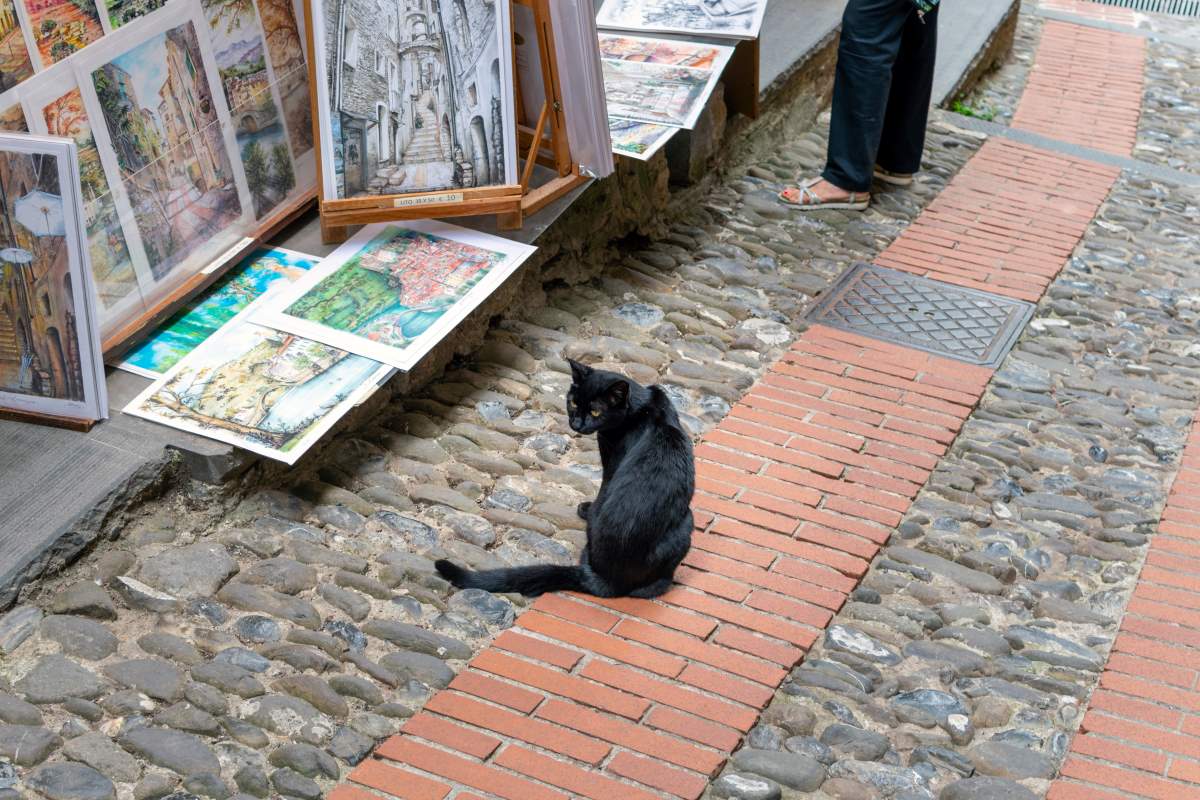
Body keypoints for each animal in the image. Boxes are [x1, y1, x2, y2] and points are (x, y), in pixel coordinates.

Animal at [434, 359, 696, 597]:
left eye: (596, 411)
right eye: (573, 402)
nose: (576, 423)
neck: (642, 407)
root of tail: (604, 579)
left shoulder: (610, 461)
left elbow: (603, 488)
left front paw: (587, 509)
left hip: (687, 521)